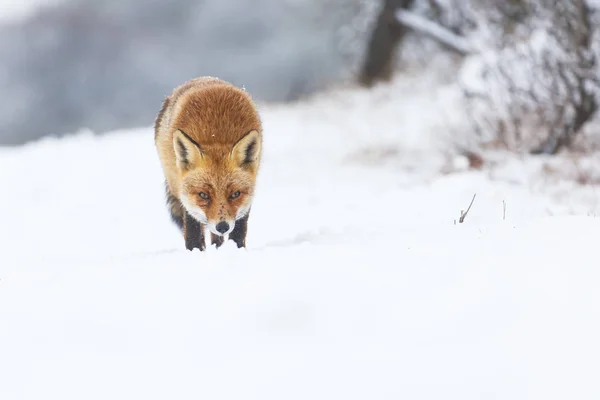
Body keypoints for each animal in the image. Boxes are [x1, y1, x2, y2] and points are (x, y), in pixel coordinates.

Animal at [154, 77, 262, 252]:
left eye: (235, 194)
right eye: (203, 195)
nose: (222, 226)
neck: (216, 135)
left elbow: (239, 230)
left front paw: (237, 249)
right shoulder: (187, 199)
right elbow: (192, 230)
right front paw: (195, 251)